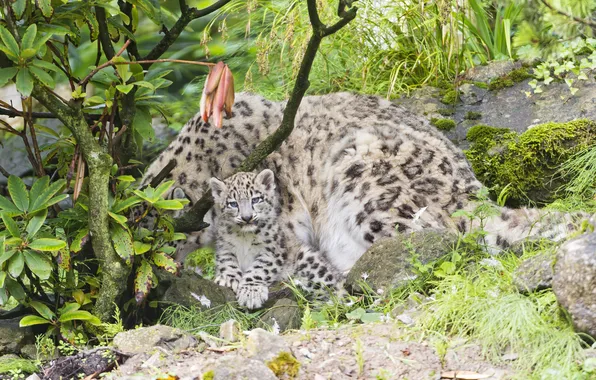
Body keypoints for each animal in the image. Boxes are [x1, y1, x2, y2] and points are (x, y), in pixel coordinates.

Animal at [142, 92, 592, 308]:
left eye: (156, 240)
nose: (149, 286)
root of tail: (472, 195)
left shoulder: (280, 230)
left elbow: (271, 257)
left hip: (367, 182)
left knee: (435, 248)